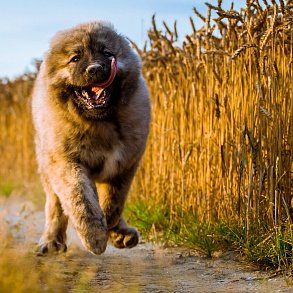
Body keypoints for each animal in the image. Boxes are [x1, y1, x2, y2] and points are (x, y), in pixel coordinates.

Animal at [32, 21, 151, 253]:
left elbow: (113, 201)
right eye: (75, 58)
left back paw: (122, 233)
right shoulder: (67, 163)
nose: (95, 68)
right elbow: (82, 201)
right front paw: (95, 236)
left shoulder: (125, 164)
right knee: (55, 206)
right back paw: (51, 241)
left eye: (107, 53)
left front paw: (111, 227)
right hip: (47, 165)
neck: (100, 123)